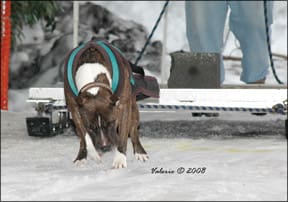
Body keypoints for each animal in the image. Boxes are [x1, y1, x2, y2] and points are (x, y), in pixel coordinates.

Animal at [63, 38, 148, 168]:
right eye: (91, 127)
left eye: (111, 123)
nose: (105, 147)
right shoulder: (74, 107)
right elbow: (84, 135)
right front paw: (92, 154)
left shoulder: (124, 106)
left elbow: (123, 134)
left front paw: (120, 158)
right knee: (82, 138)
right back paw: (82, 155)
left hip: (133, 107)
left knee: (133, 130)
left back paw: (140, 152)